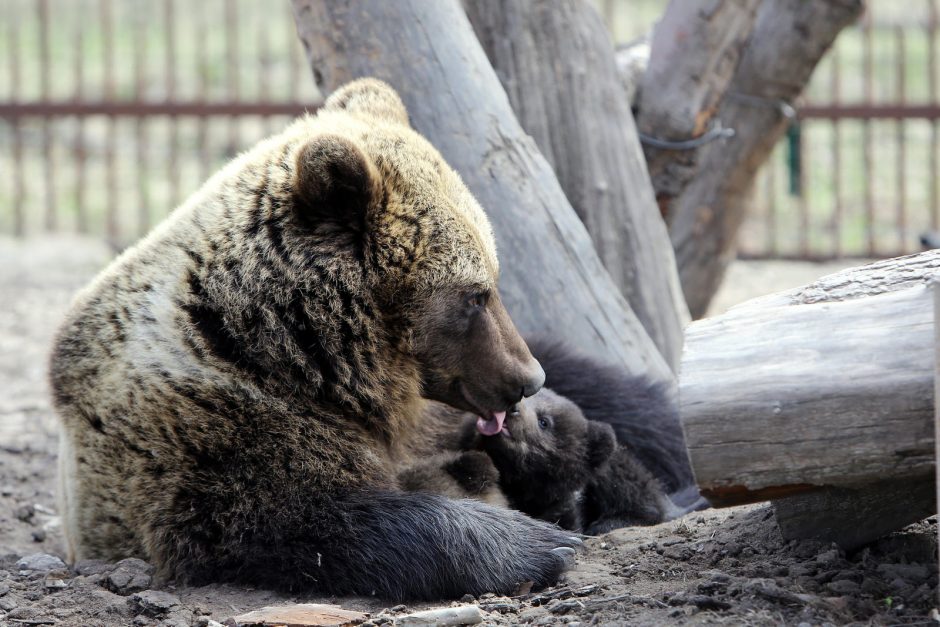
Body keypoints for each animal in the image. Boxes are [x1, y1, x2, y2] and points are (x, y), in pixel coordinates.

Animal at [53, 79, 580, 604]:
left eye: (493, 278)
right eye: (474, 295)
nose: (528, 377)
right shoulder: (208, 432)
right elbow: (308, 520)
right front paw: (540, 543)